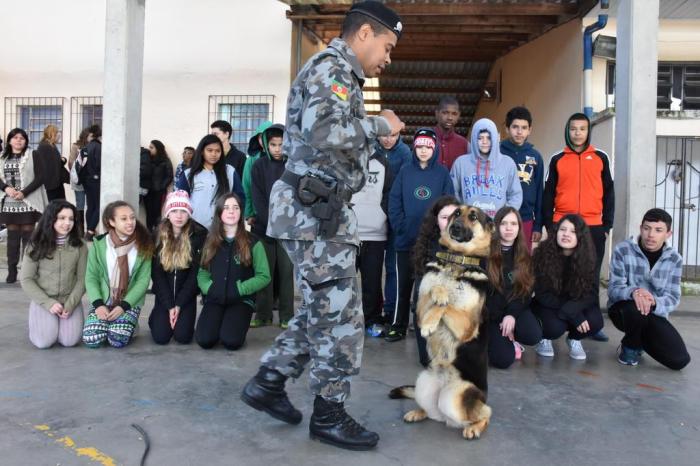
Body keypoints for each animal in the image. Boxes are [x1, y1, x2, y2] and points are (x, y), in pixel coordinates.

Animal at [388, 205, 492, 440]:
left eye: (473, 216)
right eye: (456, 213)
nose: (455, 227)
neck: (455, 261)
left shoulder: (467, 326)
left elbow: (447, 305)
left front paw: (433, 317)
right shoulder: (418, 307)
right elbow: (434, 290)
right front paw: (439, 296)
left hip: (456, 397)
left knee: (486, 413)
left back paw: (474, 427)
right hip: (422, 384)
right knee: (431, 412)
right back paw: (418, 412)